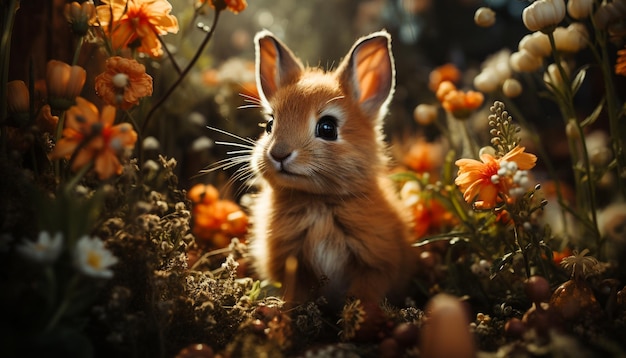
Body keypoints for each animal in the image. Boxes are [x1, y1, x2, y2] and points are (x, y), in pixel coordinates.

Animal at [247, 29, 414, 308]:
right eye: (270, 125)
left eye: (327, 128)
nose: (278, 153)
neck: (320, 202)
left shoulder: (375, 264)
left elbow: (366, 295)